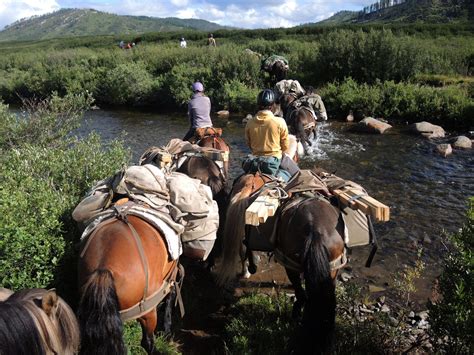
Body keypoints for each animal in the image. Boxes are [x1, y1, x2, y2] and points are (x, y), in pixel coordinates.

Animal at [77, 216, 181, 354]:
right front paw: (167, 331)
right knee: (147, 341)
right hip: (147, 312)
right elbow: (171, 295)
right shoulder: (172, 273)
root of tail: (103, 269)